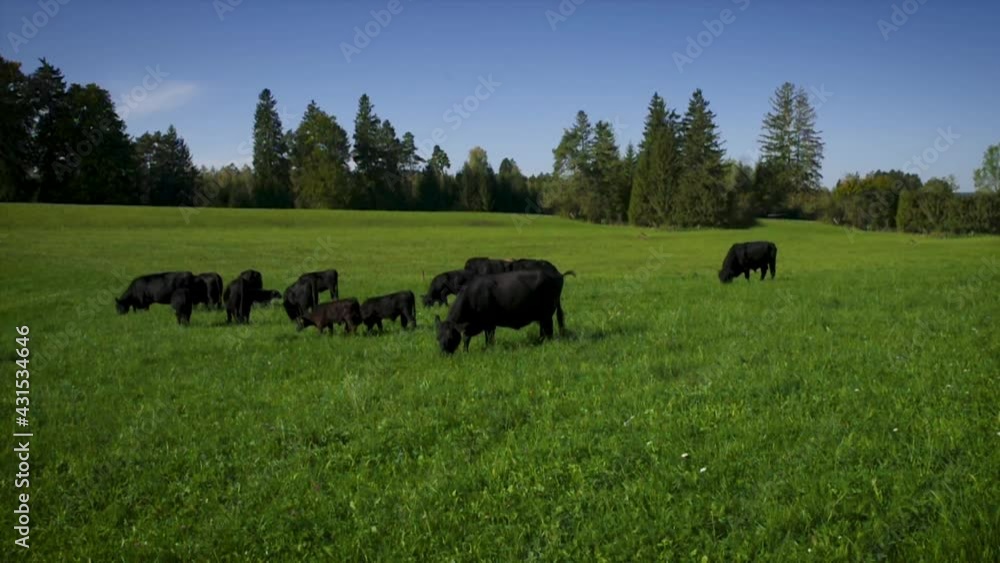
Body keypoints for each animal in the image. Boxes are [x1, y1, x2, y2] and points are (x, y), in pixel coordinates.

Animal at [434, 268, 574, 354]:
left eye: (450, 337)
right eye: (437, 337)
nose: (443, 354)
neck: (472, 295)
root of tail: (557, 274)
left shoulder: (489, 324)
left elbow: (488, 338)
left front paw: (488, 349)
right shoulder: (473, 326)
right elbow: (466, 338)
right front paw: (466, 351)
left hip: (547, 314)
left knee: (549, 330)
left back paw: (546, 343)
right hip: (542, 316)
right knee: (543, 329)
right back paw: (540, 341)